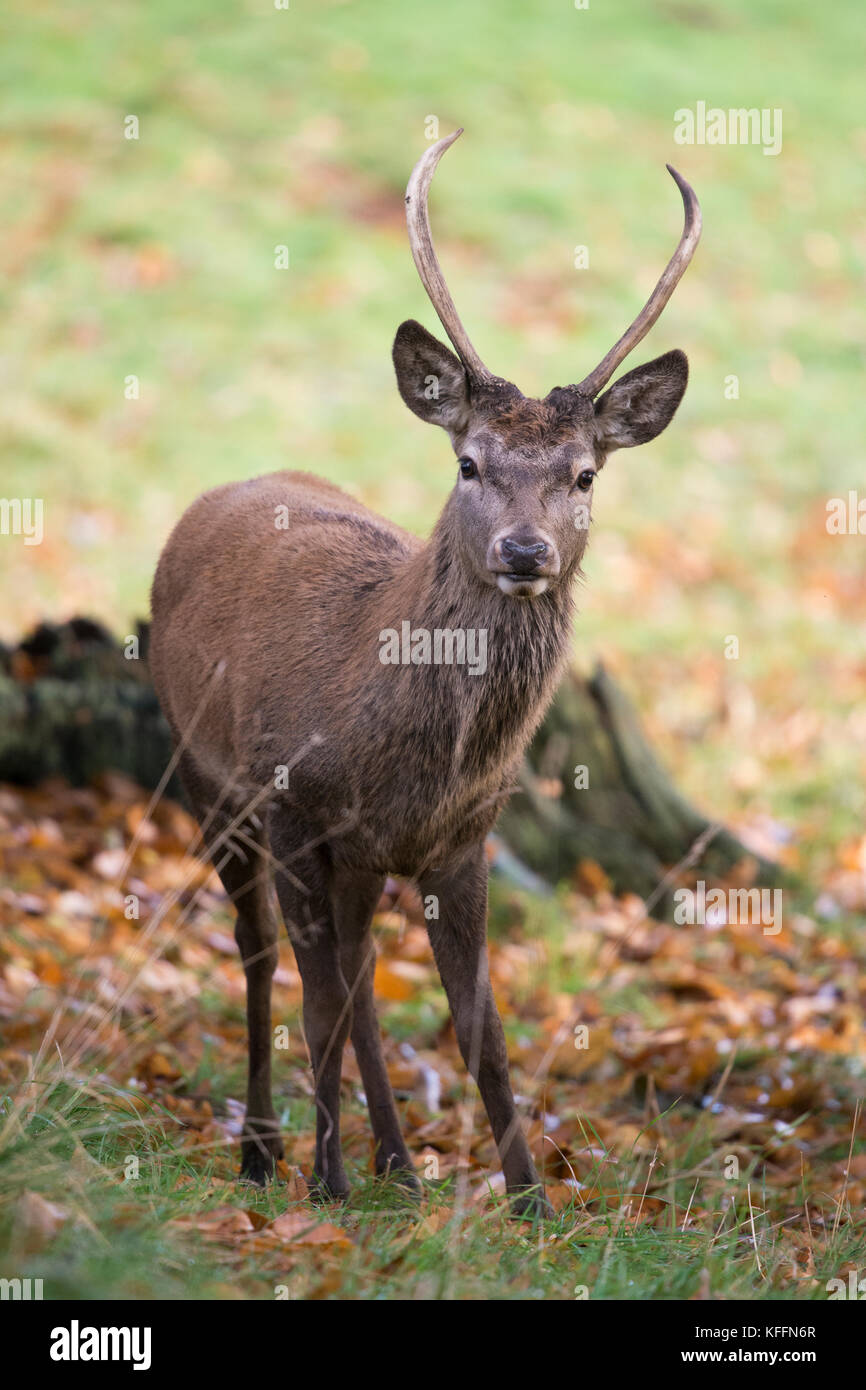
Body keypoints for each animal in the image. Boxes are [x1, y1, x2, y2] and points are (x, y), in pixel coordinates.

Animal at [149, 130, 700, 1218]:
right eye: (468, 464)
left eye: (584, 474)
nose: (525, 550)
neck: (413, 756)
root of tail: (217, 495)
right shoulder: (294, 803)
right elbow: (314, 994)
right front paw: (322, 1180)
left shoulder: (462, 835)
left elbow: (480, 1027)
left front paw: (530, 1202)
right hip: (204, 774)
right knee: (262, 956)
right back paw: (268, 1152)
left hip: (358, 855)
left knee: (358, 974)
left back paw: (396, 1164)